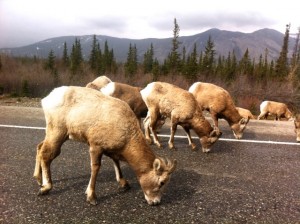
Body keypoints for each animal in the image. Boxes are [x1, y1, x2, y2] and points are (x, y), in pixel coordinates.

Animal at [33, 86, 176, 206]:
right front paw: (91, 197)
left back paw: (39, 180)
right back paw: (45, 187)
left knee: (40, 147)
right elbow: (96, 168)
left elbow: (116, 162)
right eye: (161, 182)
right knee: (46, 154)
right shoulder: (95, 147)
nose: (155, 202)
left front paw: (124, 184)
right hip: (57, 133)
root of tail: (49, 98)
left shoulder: (111, 150)